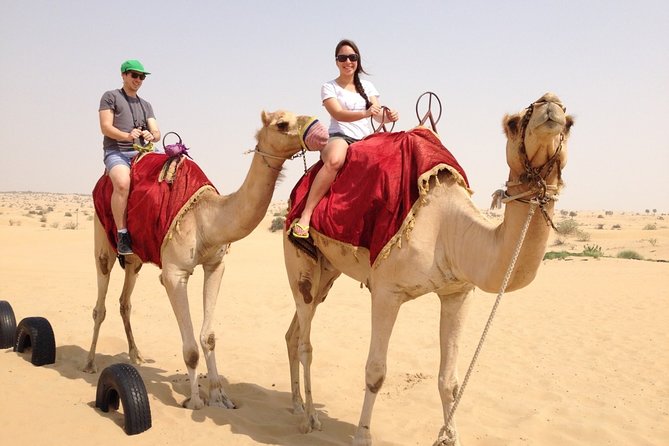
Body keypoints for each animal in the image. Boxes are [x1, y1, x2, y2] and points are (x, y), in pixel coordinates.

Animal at [84, 110, 320, 410]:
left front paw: (219, 396)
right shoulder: (173, 274)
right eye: (282, 123)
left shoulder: (215, 265)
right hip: (103, 238)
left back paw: (136, 355)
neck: (206, 219)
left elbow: (208, 338)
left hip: (135, 259)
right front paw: (195, 401)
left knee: (125, 301)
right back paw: (90, 362)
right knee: (100, 303)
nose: (318, 129)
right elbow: (191, 350)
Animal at [282, 93, 574, 445]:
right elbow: (376, 371)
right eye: (514, 123)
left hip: (328, 271)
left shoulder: (458, 292)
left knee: (294, 331)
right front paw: (362, 436)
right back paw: (309, 419)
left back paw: (297, 405)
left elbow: (450, 380)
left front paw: (450, 437)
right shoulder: (386, 291)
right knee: (305, 340)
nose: (550, 103)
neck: (447, 229)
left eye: (570, 123)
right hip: (298, 258)